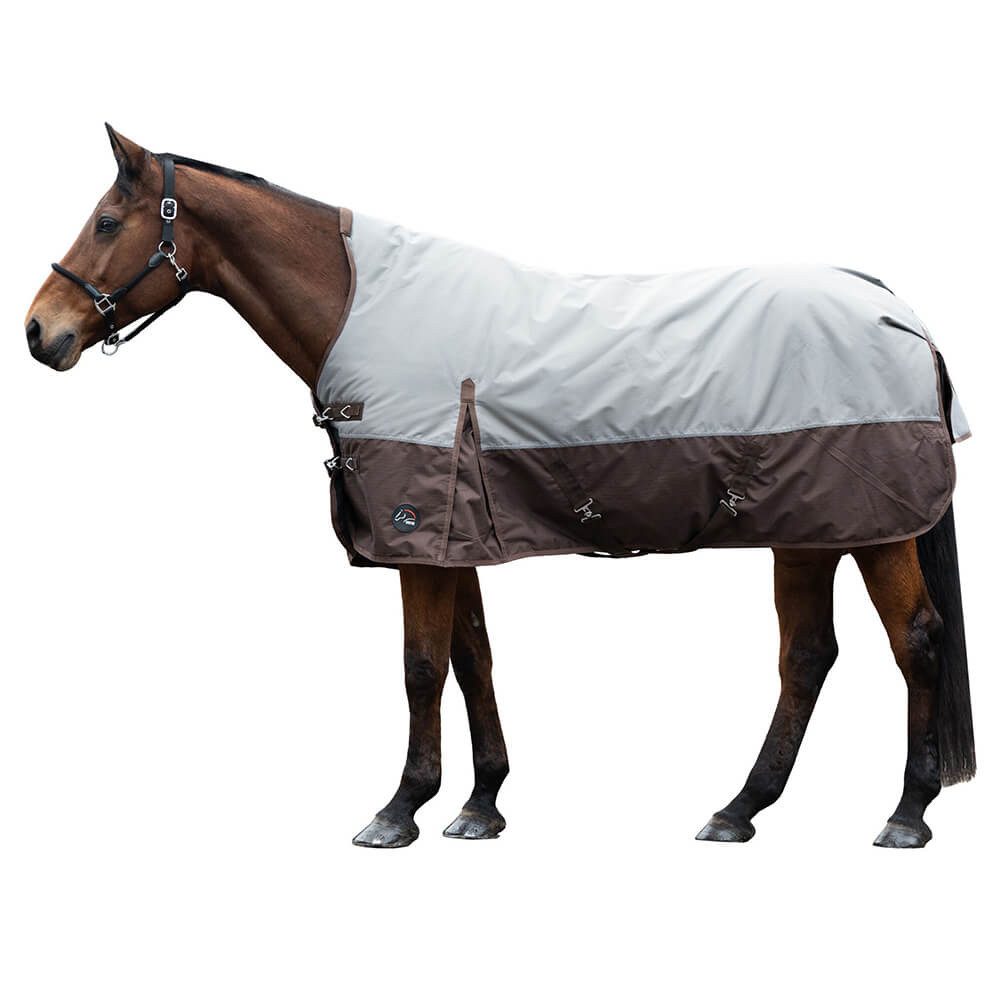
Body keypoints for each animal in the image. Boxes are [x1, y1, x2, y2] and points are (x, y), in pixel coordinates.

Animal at [23, 125, 975, 849]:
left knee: (916, 643)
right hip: (810, 530)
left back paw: (905, 815)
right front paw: (480, 805)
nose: (40, 331)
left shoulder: (415, 534)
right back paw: (739, 810)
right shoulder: (454, 537)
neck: (364, 308)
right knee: (807, 656)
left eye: (106, 221)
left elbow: (419, 667)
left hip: (874, 528)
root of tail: (896, 311)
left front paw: (399, 810)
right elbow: (470, 657)